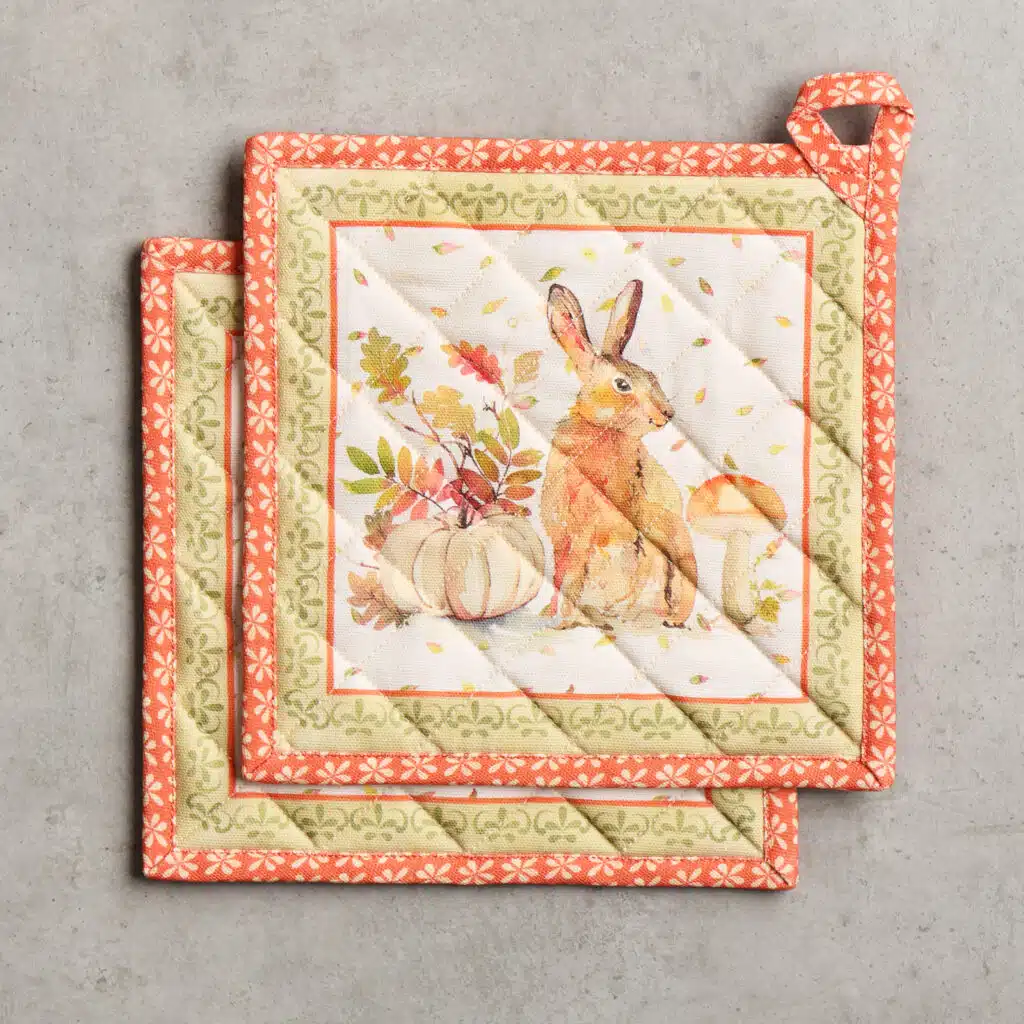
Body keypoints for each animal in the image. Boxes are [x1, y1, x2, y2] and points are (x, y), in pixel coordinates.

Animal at [540, 280, 697, 631]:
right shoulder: (565, 536)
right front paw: (555, 617)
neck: (601, 429)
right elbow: (561, 575)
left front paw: (566, 620)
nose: (667, 413)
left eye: (652, 377)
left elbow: (576, 575)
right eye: (622, 385)